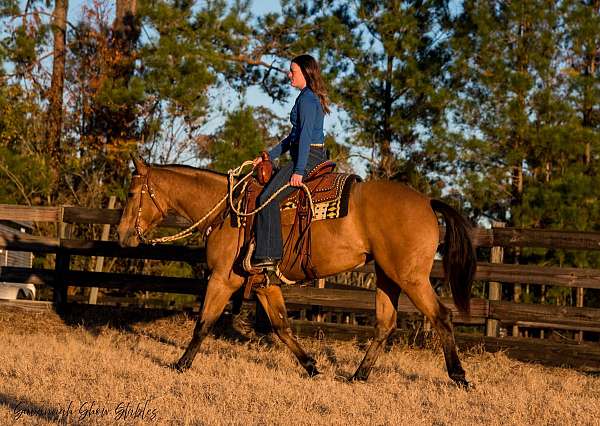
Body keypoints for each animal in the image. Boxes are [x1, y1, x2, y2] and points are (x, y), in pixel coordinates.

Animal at [117, 156, 476, 386]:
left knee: (441, 316)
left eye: (132, 194)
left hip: (411, 278)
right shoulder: (264, 284)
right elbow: (281, 326)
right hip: (388, 277)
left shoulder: (222, 279)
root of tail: (427, 202)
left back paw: (459, 376)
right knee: (385, 325)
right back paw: (358, 376)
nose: (122, 235)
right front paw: (312, 366)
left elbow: (203, 324)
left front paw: (180, 364)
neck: (228, 210)